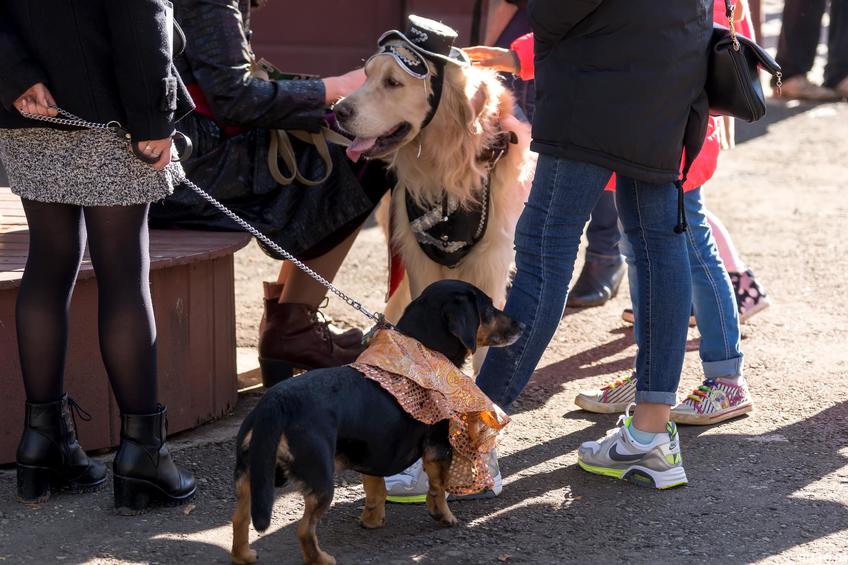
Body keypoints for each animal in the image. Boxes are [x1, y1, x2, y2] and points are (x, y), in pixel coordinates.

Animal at [232, 280, 524, 560]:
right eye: (488, 308)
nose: (521, 325)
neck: (424, 348)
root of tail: (274, 405)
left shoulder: (373, 452)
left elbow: (375, 489)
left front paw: (372, 521)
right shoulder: (438, 448)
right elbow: (438, 489)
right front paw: (445, 517)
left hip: (249, 477)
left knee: (240, 520)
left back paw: (244, 555)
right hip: (320, 478)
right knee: (304, 530)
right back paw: (323, 559)